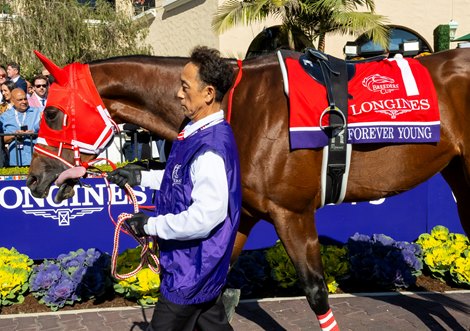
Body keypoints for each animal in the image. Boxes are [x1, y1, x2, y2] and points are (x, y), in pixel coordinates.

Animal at [26, 48, 470, 328]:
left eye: (52, 112)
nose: (33, 179)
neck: (239, 106)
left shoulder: (292, 213)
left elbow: (316, 293)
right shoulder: (242, 214)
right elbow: (217, 293)